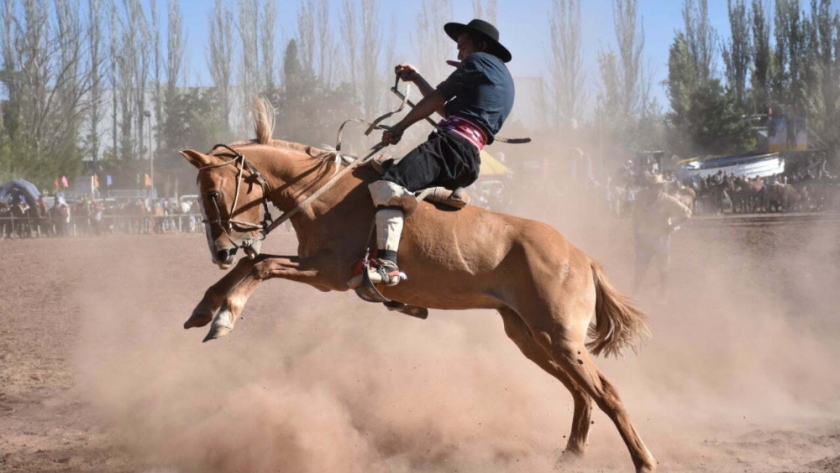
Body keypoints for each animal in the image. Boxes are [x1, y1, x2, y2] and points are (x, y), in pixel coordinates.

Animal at [180, 101, 660, 470]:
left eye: (214, 192)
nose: (220, 250)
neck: (327, 196)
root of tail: (581, 258)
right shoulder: (311, 264)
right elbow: (253, 264)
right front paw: (204, 310)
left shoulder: (329, 275)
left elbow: (260, 267)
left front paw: (225, 316)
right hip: (529, 335)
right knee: (582, 392)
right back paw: (572, 453)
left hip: (559, 336)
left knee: (606, 392)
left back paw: (644, 460)